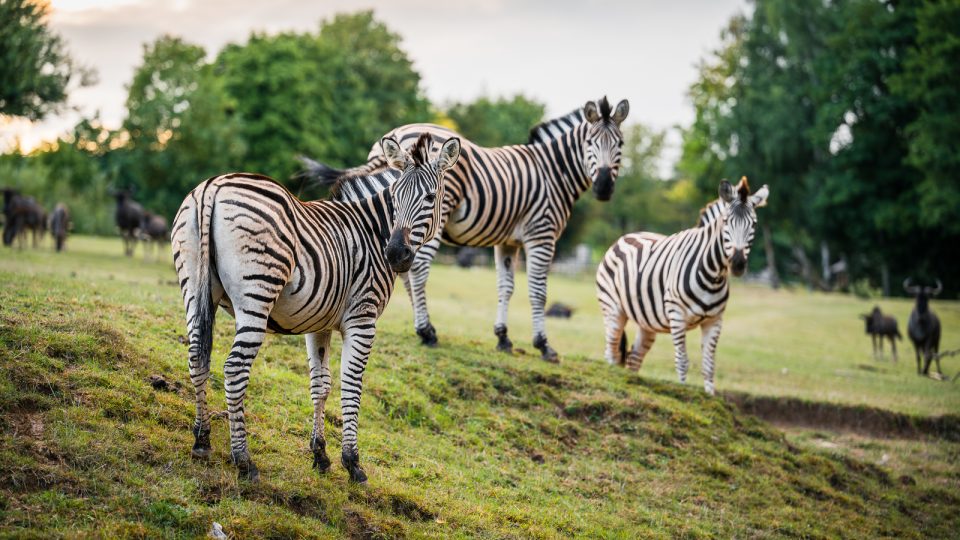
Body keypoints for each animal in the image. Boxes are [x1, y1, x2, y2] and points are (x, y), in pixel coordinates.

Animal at [172, 135, 462, 480]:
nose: (394, 254)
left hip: (194, 289)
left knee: (196, 356)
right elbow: (352, 384)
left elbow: (320, 385)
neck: (372, 229)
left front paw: (320, 455)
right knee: (235, 368)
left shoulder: (319, 323)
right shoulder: (362, 318)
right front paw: (352, 462)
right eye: (394, 197)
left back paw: (202, 440)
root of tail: (212, 187)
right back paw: (243, 459)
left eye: (430, 197)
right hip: (257, 293)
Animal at [298, 96, 632, 362]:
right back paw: (427, 332)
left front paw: (503, 337)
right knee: (417, 271)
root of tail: (396, 133)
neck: (552, 171)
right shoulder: (542, 233)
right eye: (589, 144)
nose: (604, 188)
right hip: (435, 217)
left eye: (620, 145)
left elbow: (506, 286)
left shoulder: (508, 241)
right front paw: (544, 345)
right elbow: (538, 292)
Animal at [596, 179, 768, 394]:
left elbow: (709, 365)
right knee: (610, 351)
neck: (713, 275)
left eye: (754, 224)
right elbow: (682, 361)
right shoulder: (676, 314)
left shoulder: (715, 320)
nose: (737, 264)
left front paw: (710, 396)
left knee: (634, 357)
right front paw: (683, 392)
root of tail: (625, 236)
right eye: (726, 221)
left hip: (647, 321)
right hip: (613, 308)